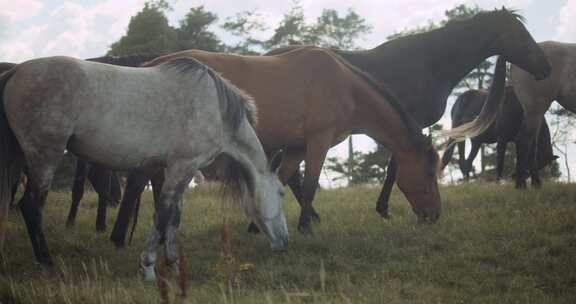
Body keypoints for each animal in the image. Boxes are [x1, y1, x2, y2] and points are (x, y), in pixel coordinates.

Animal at [0, 55, 288, 280]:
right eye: (282, 193)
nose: (285, 243)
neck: (215, 109)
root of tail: (17, 71)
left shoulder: (178, 170)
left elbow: (174, 217)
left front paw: (172, 264)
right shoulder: (182, 168)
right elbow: (163, 213)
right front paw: (148, 267)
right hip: (44, 156)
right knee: (31, 206)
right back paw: (46, 263)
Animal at [266, 8, 548, 218]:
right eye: (523, 35)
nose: (546, 67)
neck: (430, 63)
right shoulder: (411, 124)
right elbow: (394, 168)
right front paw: (384, 209)